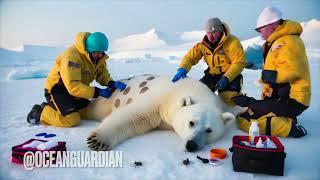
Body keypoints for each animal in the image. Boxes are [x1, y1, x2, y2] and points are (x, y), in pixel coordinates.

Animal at [86, 74, 236, 152]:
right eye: (191, 123)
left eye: (209, 130)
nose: (192, 145)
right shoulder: (159, 98)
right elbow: (133, 115)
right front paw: (97, 140)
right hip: (110, 97)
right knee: (96, 108)